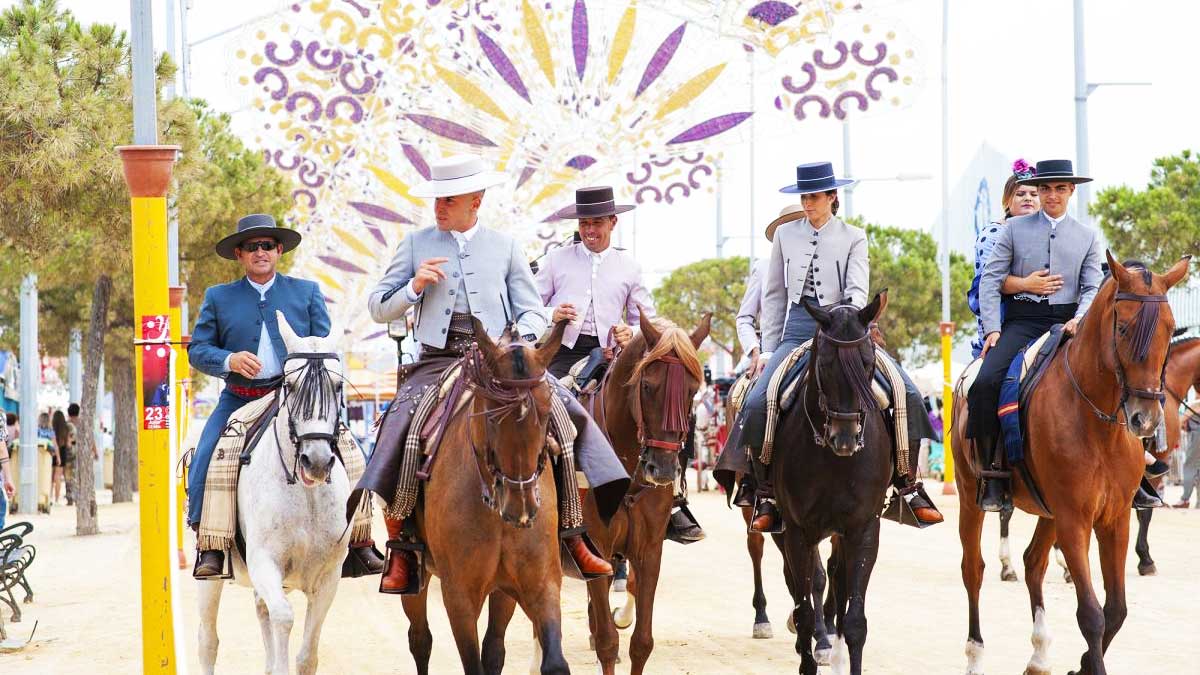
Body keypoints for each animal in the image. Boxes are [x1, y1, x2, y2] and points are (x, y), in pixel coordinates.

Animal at [198, 312, 350, 672]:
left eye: (337, 386)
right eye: (290, 386)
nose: (316, 461)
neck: (306, 496)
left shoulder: (329, 578)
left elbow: (307, 655)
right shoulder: (264, 562)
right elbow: (284, 618)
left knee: (260, 611)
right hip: (208, 581)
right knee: (208, 641)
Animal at [398, 317, 571, 667]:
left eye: (547, 413)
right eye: (491, 415)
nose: (522, 508)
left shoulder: (542, 584)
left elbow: (553, 662)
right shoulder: (460, 597)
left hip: (503, 590)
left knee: (494, 648)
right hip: (416, 578)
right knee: (420, 639)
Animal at [580, 312, 710, 672]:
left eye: (692, 391)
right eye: (648, 386)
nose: (662, 469)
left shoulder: (650, 550)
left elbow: (641, 642)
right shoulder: (597, 545)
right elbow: (608, 642)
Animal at [772, 293, 897, 672]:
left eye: (868, 362)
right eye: (825, 365)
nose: (845, 439)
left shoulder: (863, 528)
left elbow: (856, 621)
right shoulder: (797, 531)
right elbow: (805, 604)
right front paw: (811, 652)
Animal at [950, 252, 1185, 672]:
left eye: (1170, 328)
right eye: (1123, 328)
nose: (1145, 419)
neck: (1098, 422)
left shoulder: (1113, 517)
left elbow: (1116, 609)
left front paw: (1082, 663)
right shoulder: (1075, 518)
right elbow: (1091, 614)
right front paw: (1089, 663)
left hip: (1049, 512)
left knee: (1033, 563)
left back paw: (1039, 654)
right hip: (970, 497)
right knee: (973, 570)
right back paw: (975, 655)